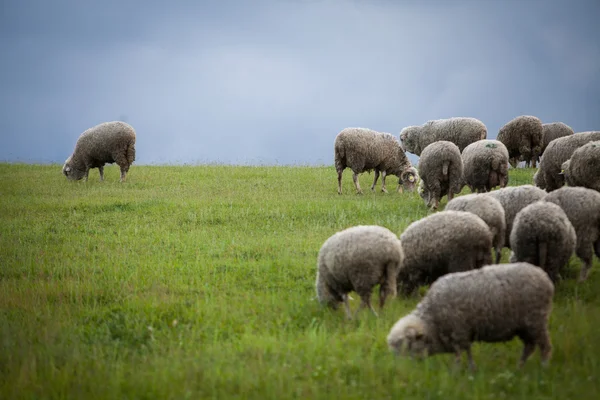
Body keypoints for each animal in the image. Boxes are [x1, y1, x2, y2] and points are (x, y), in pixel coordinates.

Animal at [386, 260, 556, 370]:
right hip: (525, 326)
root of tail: (544, 277)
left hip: (536, 320)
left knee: (545, 347)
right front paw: (471, 369)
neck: (432, 320)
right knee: (529, 347)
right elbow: (467, 351)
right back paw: (519, 368)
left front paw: (457, 372)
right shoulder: (462, 333)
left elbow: (460, 354)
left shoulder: (459, 331)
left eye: (405, 345)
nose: (400, 369)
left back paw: (544, 368)